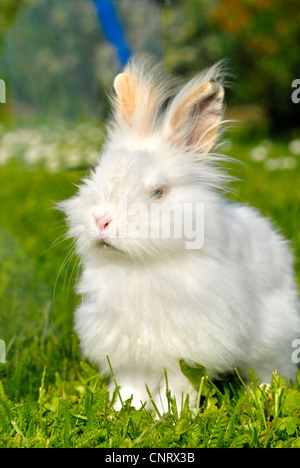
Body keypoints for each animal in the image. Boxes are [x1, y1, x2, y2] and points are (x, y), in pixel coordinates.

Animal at [59, 59, 300, 414]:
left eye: (158, 192)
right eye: (96, 177)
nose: (101, 220)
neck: (139, 265)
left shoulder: (187, 347)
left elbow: (179, 385)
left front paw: (170, 416)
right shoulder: (127, 349)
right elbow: (131, 385)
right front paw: (123, 411)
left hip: (274, 336)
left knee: (271, 367)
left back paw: (265, 392)